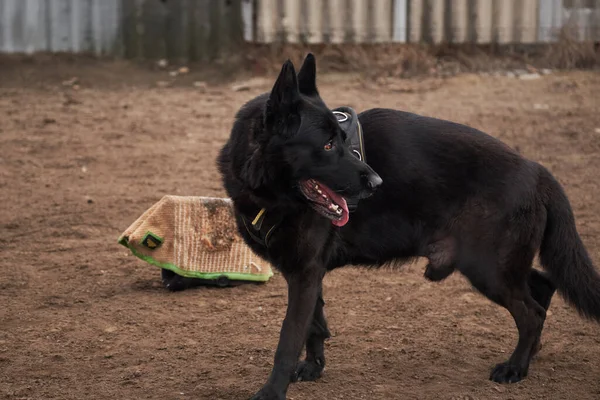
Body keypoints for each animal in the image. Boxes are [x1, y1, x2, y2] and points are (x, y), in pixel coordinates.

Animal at [217, 54, 600, 400]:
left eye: (341, 140)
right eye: (326, 145)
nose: (376, 182)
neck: (269, 192)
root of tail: (537, 169)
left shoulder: (305, 274)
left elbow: (288, 339)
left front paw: (271, 392)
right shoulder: (307, 274)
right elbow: (314, 325)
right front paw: (313, 367)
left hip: (489, 269)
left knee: (532, 312)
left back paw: (516, 368)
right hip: (497, 266)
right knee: (543, 285)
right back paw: (531, 354)